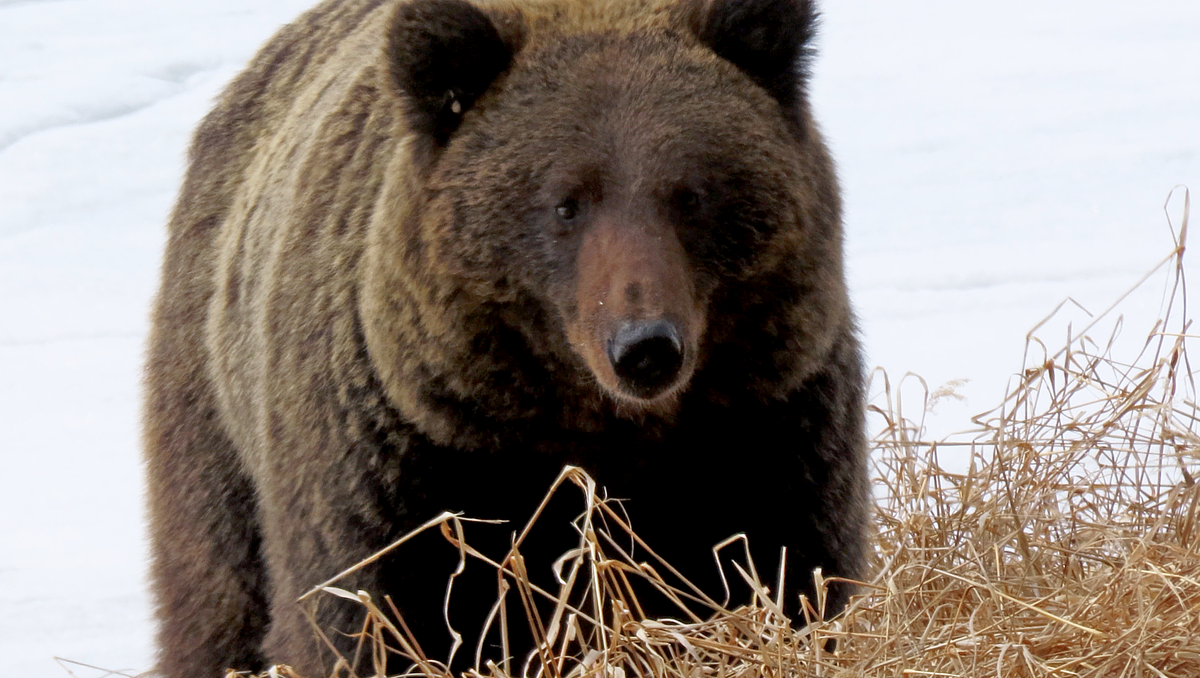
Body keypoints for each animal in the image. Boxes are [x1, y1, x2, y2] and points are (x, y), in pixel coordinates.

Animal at [145, 0, 868, 672]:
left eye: (690, 195)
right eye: (565, 203)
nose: (645, 347)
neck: (598, 432)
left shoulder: (765, 430)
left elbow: (785, 578)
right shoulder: (406, 471)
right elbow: (368, 623)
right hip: (217, 428)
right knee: (215, 596)